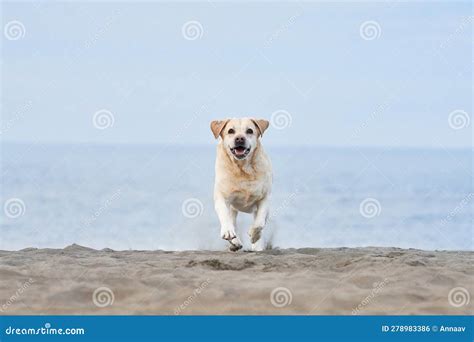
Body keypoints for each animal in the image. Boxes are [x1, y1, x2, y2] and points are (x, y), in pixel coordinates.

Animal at [210, 117, 272, 251]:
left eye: (249, 130)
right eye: (230, 131)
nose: (239, 138)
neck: (242, 168)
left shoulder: (264, 198)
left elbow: (259, 223)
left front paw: (254, 235)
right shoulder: (222, 197)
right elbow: (225, 215)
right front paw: (229, 233)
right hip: (233, 208)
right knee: (232, 221)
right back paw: (235, 242)